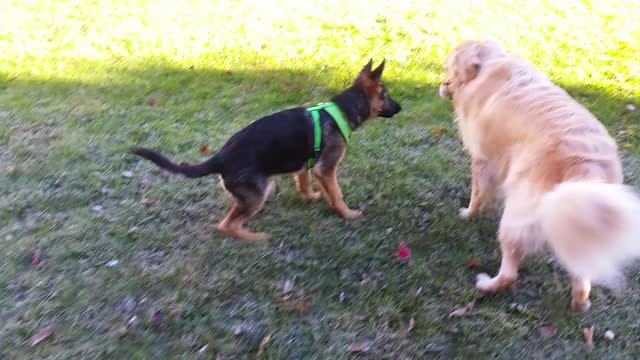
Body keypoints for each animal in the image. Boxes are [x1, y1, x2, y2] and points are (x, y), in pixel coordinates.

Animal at [132, 60, 400, 240]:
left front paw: (311, 197)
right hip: (258, 193)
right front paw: (347, 213)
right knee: (226, 226)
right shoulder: (326, 168)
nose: (401, 108)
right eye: (385, 95)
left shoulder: (306, 165)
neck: (341, 109)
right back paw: (255, 238)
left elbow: (304, 183)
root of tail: (220, 157)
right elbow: (336, 194)